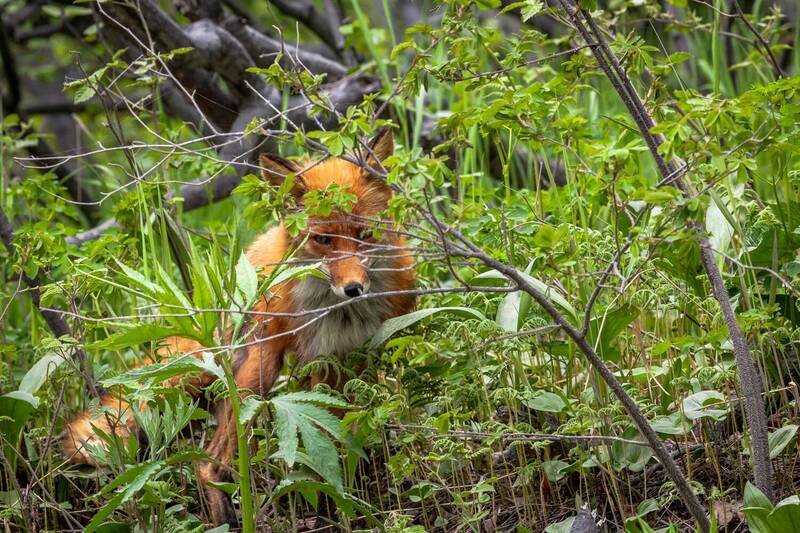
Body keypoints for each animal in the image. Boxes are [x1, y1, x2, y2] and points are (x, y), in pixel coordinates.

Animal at [62, 129, 415, 526]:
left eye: (365, 233)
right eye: (322, 240)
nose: (354, 288)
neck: (342, 316)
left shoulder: (354, 356)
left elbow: (346, 433)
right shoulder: (319, 358)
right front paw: (337, 502)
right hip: (255, 373)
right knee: (209, 462)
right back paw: (227, 518)